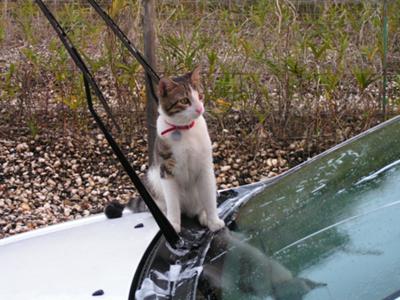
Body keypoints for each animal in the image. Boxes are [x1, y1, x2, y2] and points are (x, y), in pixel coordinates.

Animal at [144, 67, 225, 233]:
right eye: (184, 101)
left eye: (200, 95)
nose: (200, 109)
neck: (184, 130)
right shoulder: (166, 169)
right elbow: (173, 204)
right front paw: (173, 224)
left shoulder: (206, 168)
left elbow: (209, 199)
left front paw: (213, 221)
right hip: (152, 178)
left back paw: (203, 215)